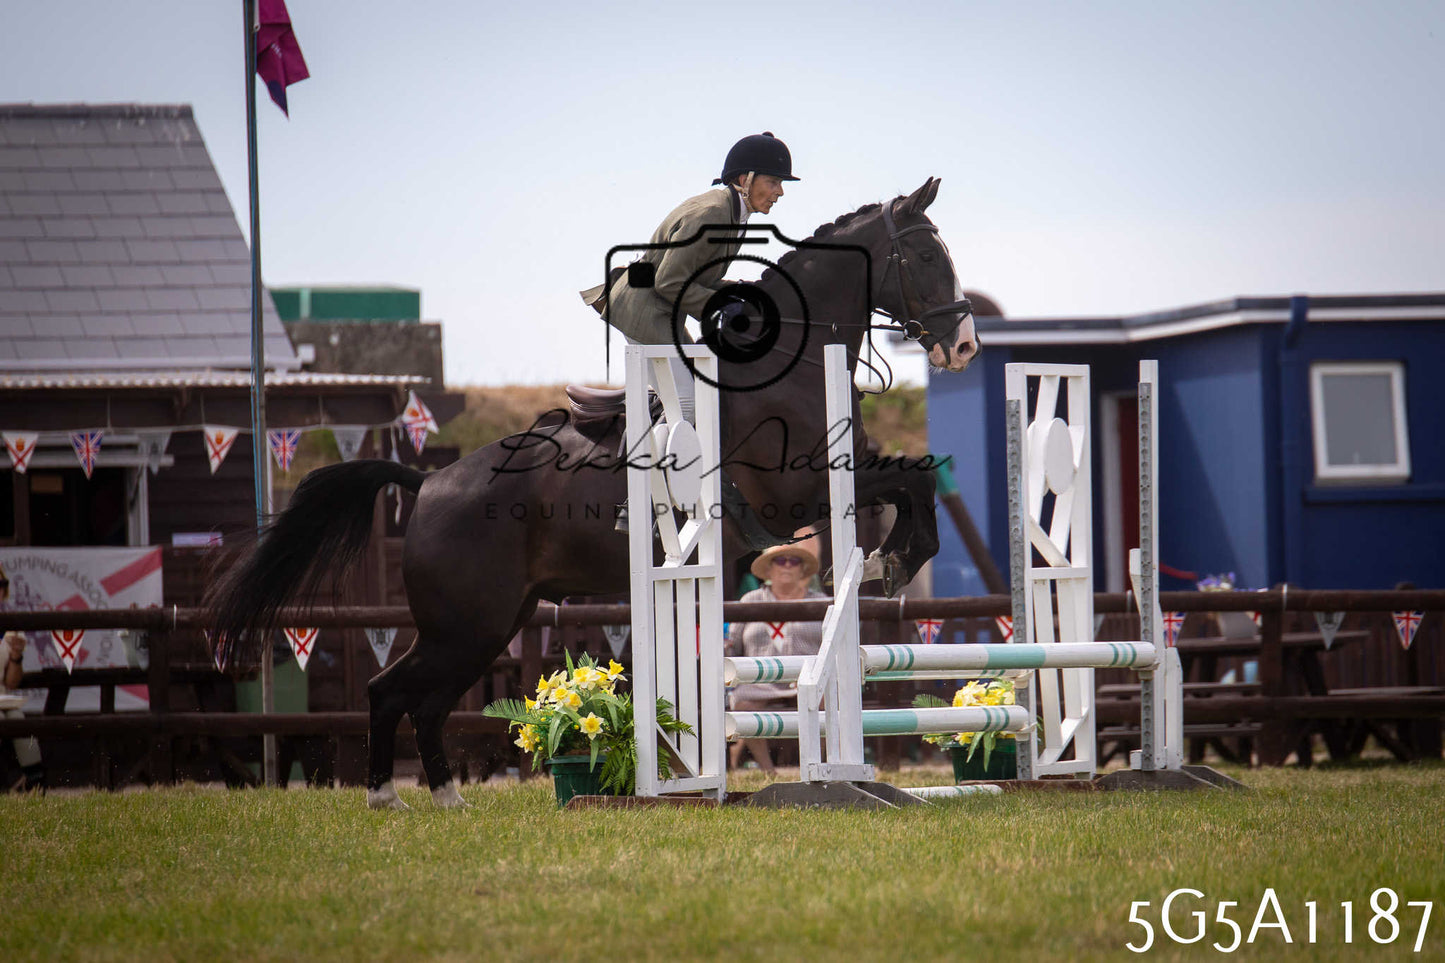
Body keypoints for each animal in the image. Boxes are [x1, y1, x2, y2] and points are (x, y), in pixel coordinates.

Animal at [203, 176, 978, 809]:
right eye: (926, 257)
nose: (965, 345)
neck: (794, 353)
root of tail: (427, 483)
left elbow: (913, 479)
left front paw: (890, 560)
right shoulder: (797, 491)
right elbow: (909, 479)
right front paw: (895, 559)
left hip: (494, 622)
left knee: (424, 702)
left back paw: (447, 798)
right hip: (468, 622)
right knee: (390, 691)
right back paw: (385, 796)